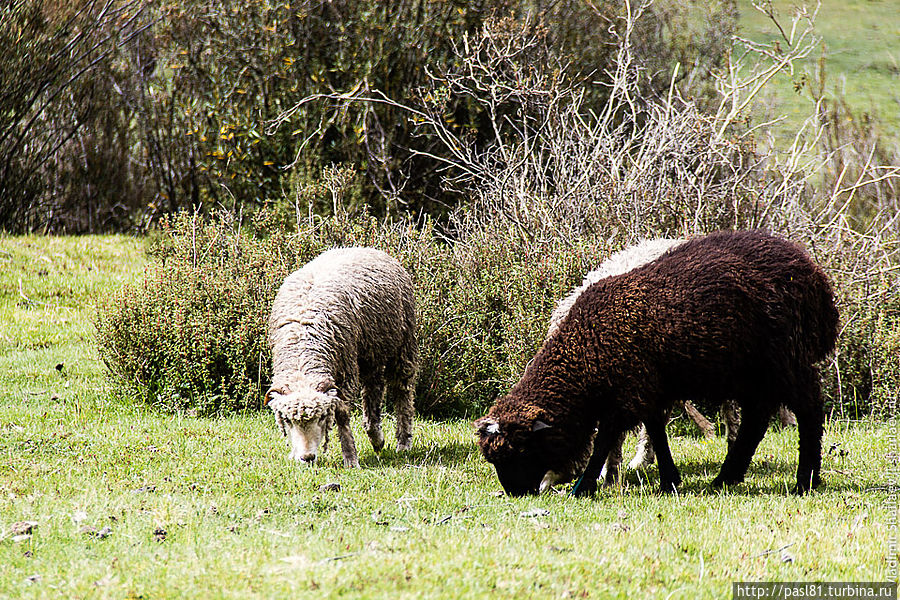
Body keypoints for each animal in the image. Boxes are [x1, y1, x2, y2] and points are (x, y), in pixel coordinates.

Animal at [268, 246, 418, 466]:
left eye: (322, 417)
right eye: (287, 420)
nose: (307, 457)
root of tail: (363, 247)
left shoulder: (346, 370)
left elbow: (342, 413)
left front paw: (350, 457)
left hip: (402, 344)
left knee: (403, 390)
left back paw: (403, 441)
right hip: (370, 351)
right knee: (373, 389)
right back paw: (376, 437)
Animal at [474, 230, 840, 496]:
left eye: (520, 451)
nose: (516, 493)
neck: (588, 350)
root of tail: (813, 274)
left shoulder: (629, 390)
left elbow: (606, 440)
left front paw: (584, 486)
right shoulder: (644, 387)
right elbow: (654, 431)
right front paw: (668, 479)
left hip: (785, 359)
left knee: (808, 409)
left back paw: (805, 479)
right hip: (751, 371)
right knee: (756, 419)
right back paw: (726, 476)